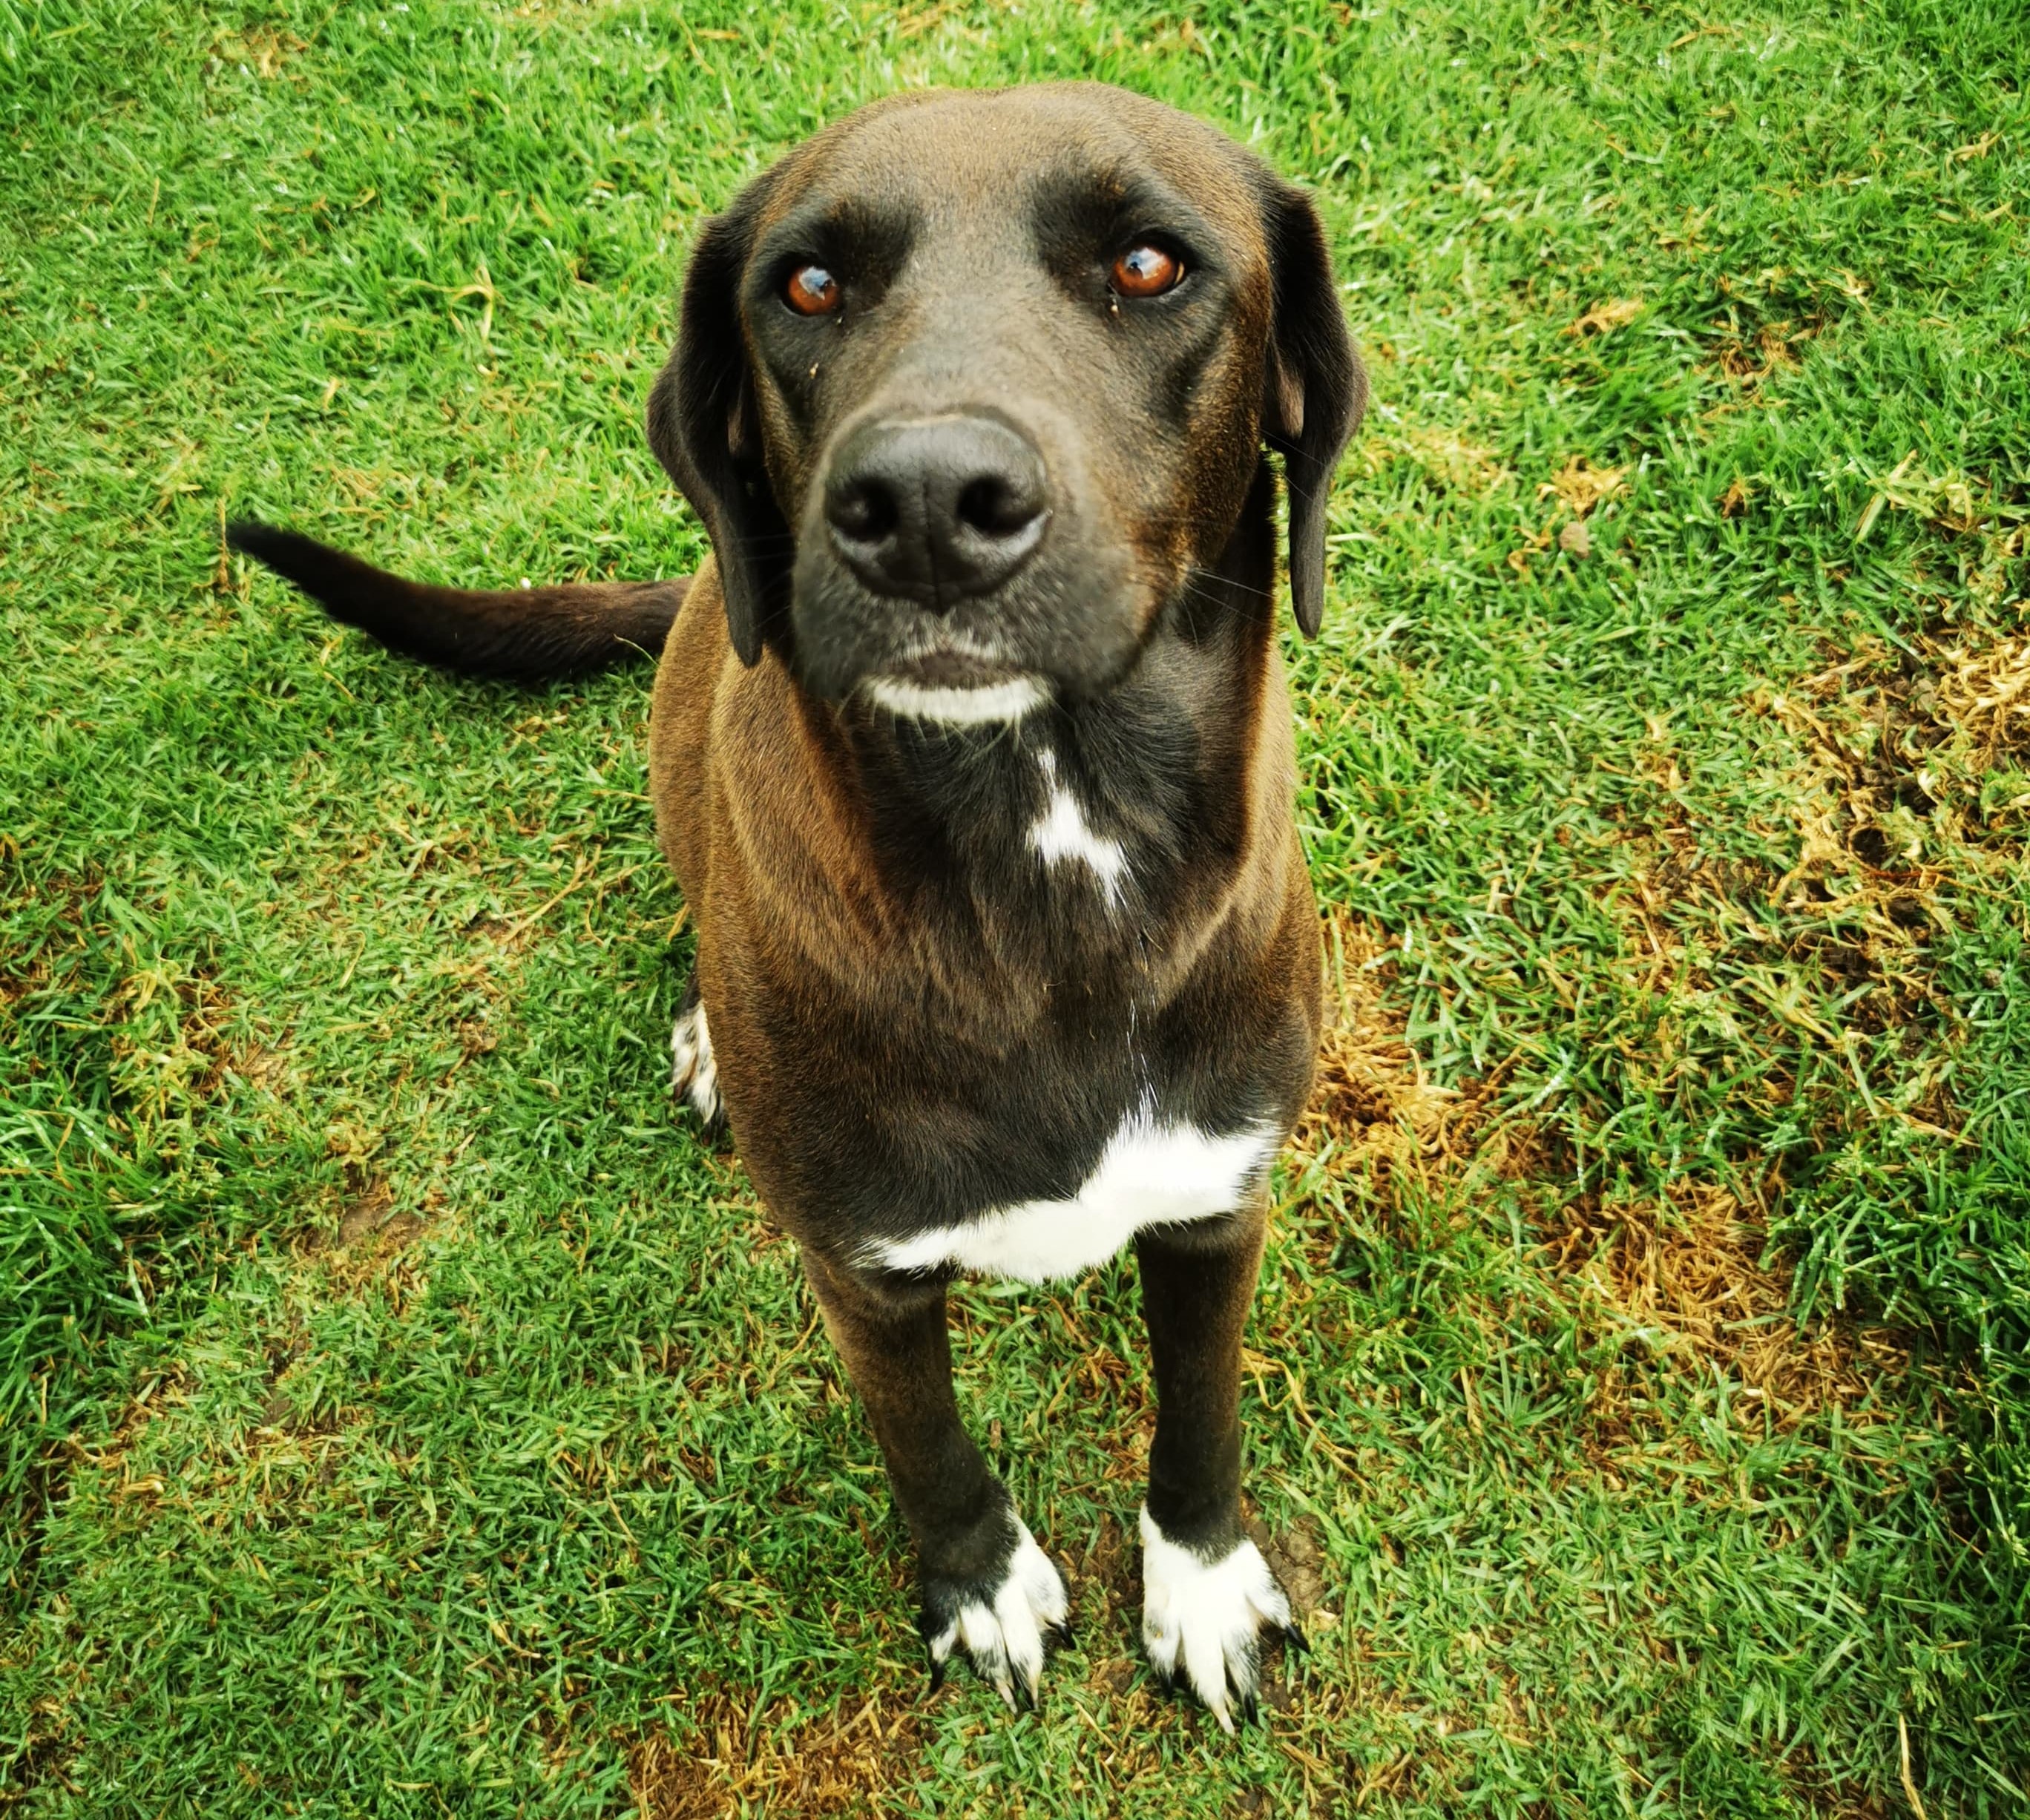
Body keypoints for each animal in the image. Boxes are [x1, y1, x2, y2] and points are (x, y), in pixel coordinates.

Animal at [233, 82, 1364, 1736]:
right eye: (811, 285)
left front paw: (1201, 1578)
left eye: (1150, 265)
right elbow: (929, 1446)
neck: (1043, 875)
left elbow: (1202, 1412)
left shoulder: (1220, 1201)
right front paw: (979, 1585)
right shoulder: (863, 1269)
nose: (928, 506)